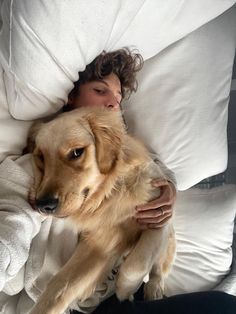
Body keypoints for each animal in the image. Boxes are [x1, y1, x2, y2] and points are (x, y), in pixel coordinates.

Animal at [28, 107, 175, 314]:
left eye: (76, 152)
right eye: (40, 157)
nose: (44, 205)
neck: (110, 194)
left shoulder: (159, 216)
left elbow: (136, 264)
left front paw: (125, 288)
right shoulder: (99, 244)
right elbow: (59, 288)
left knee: (159, 269)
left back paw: (153, 289)